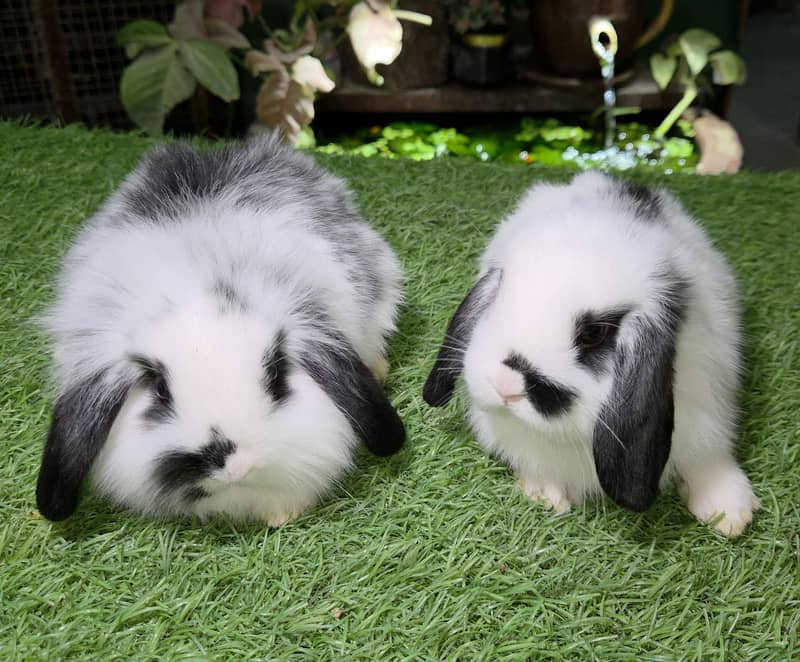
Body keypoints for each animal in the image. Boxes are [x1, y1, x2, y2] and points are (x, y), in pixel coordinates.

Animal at [423, 171, 758, 537]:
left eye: (593, 334)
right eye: (498, 297)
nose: (504, 384)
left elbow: (708, 460)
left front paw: (729, 513)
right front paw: (547, 494)